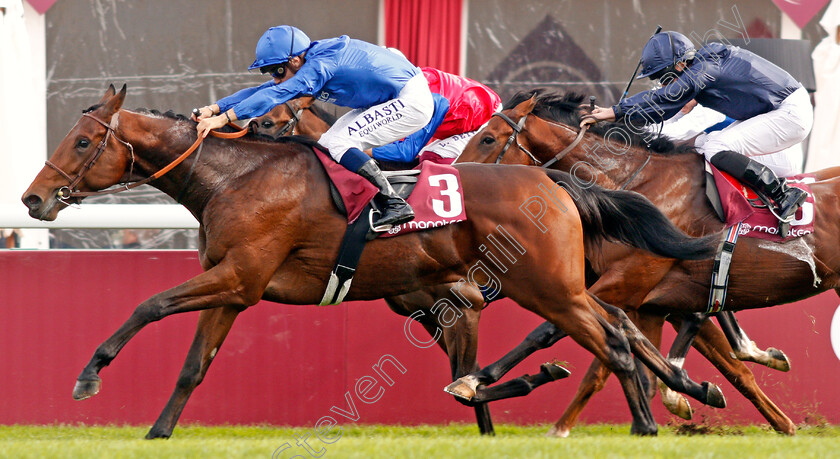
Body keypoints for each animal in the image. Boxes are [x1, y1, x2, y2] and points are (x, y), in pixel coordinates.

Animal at [23, 84, 724, 440]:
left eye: (82, 141)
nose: (32, 198)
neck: (236, 177)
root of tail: (553, 181)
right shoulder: (234, 287)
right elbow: (194, 366)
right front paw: (158, 434)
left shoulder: (239, 276)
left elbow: (148, 304)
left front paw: (89, 376)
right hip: (538, 287)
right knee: (619, 330)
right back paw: (680, 396)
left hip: (548, 287)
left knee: (613, 338)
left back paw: (646, 420)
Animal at [456, 89, 840, 434]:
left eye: (488, 138)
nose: (457, 174)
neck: (637, 183)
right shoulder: (655, 302)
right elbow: (726, 368)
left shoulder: (627, 283)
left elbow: (555, 335)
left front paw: (483, 385)